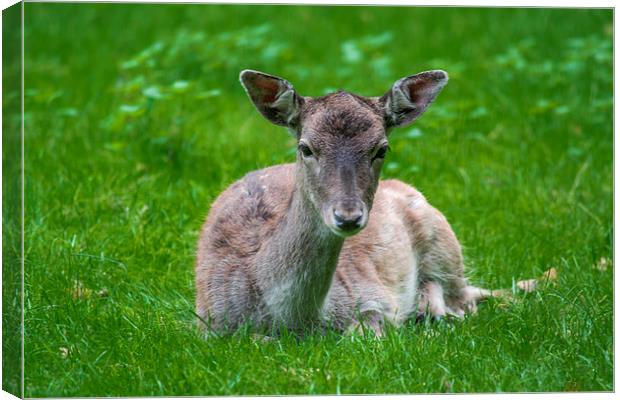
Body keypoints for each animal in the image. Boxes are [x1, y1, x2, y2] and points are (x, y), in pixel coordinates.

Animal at [194, 69, 494, 334]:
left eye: (382, 149)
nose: (348, 216)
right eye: (305, 147)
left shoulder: (375, 296)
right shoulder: (208, 323)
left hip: (444, 243)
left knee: (465, 297)